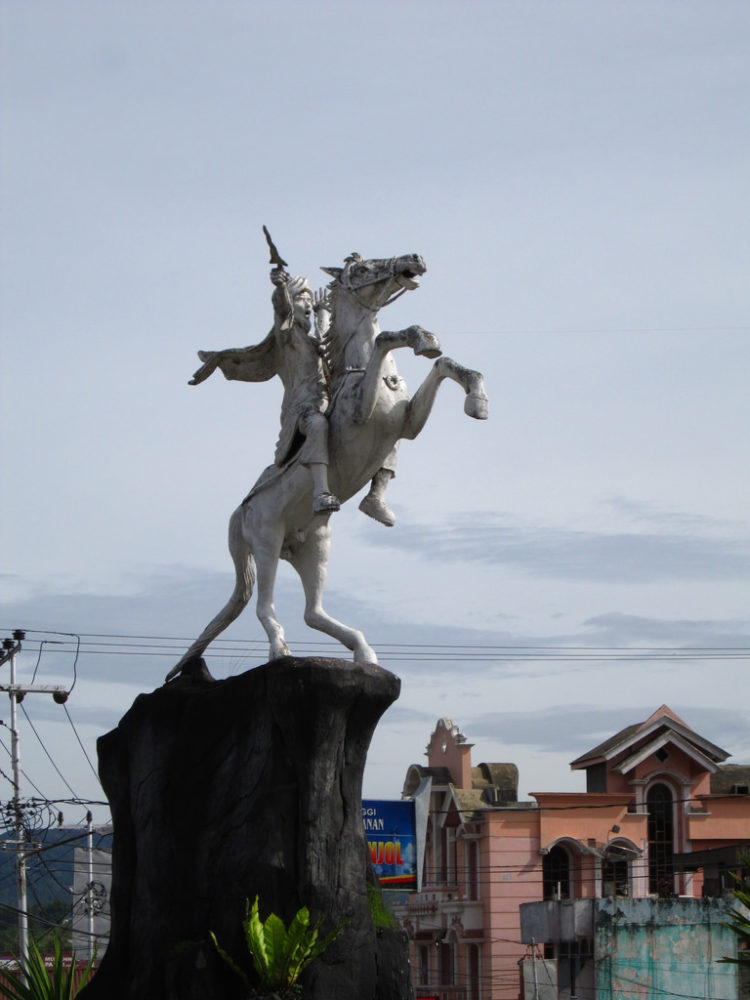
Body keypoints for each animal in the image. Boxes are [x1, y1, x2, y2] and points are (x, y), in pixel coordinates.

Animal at [167, 254, 490, 684]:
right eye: (362, 268)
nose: (415, 260)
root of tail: (241, 510)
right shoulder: (361, 413)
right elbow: (385, 340)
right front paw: (418, 338)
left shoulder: (405, 426)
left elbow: (443, 366)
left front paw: (474, 396)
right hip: (267, 541)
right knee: (265, 606)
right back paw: (281, 651)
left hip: (314, 547)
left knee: (313, 612)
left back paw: (365, 654)